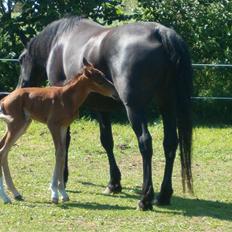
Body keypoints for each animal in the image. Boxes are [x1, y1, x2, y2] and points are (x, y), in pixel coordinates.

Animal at [0, 59, 116, 204]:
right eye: (99, 80)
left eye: (103, 75)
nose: (114, 92)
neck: (67, 98)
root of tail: (4, 100)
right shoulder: (53, 125)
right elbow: (58, 153)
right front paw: (55, 193)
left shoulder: (63, 126)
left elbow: (62, 153)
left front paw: (63, 193)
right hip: (16, 125)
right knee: (2, 151)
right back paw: (6, 197)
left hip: (21, 125)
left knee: (4, 150)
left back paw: (15, 193)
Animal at [16, 17, 193, 211]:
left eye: (20, 59)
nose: (21, 86)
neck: (59, 41)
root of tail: (159, 32)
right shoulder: (101, 108)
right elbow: (107, 141)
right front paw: (114, 183)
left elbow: (65, 141)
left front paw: (64, 177)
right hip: (167, 104)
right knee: (170, 143)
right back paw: (163, 195)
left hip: (135, 108)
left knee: (145, 143)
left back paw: (145, 199)